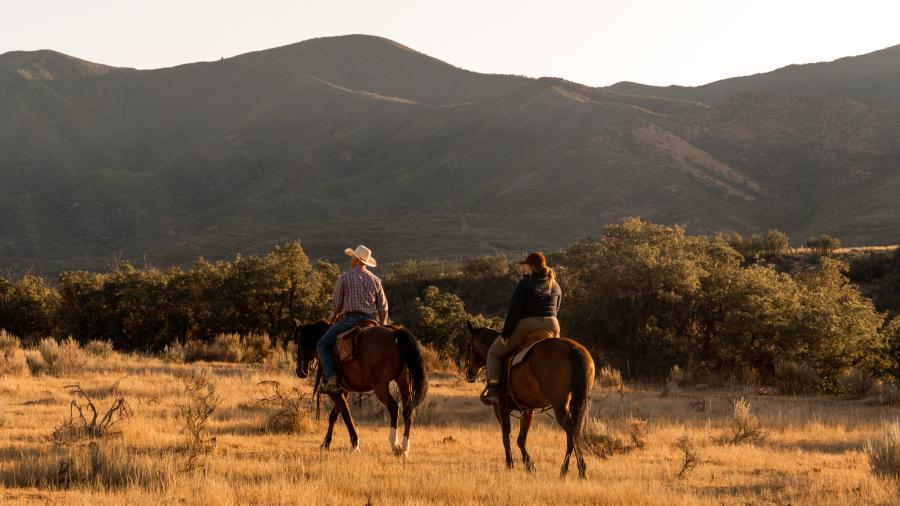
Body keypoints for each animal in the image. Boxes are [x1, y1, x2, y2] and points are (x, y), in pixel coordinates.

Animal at [292, 322, 426, 456]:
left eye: (298, 343)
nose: (300, 371)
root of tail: (394, 331)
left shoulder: (333, 392)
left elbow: (346, 415)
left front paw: (354, 444)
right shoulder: (343, 390)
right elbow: (334, 416)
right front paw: (325, 443)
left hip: (380, 386)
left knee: (393, 407)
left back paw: (394, 444)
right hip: (403, 380)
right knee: (408, 409)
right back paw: (405, 447)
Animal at [468, 322, 596, 476]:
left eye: (470, 346)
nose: (469, 373)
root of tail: (573, 348)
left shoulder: (501, 408)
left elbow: (506, 437)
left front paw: (511, 464)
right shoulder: (527, 410)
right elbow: (521, 439)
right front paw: (528, 464)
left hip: (560, 406)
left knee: (571, 431)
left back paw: (575, 469)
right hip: (575, 403)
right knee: (573, 432)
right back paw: (568, 470)